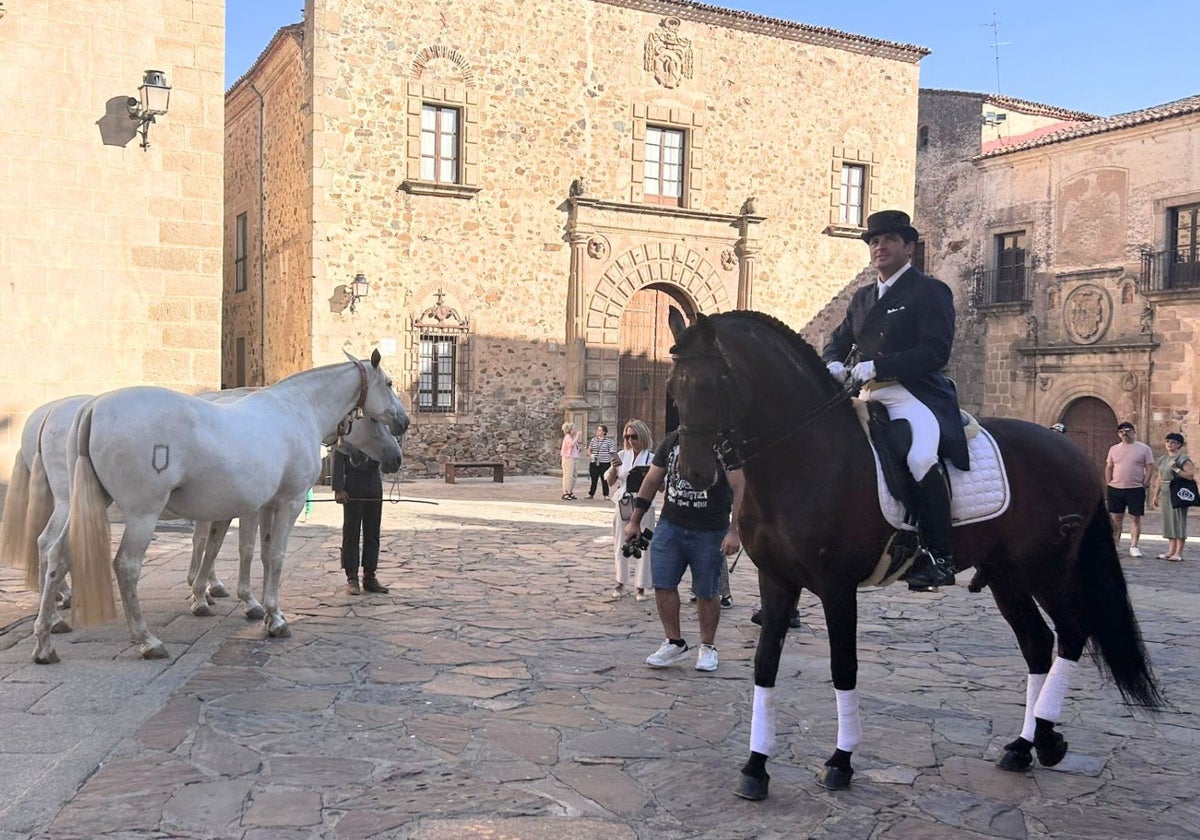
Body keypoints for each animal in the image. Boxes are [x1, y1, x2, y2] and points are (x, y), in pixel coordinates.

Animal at [46, 350, 408, 667]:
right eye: (389, 383)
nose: (403, 423)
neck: (298, 409)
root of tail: (94, 406)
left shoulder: (266, 506)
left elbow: (261, 554)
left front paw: (261, 610)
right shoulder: (288, 503)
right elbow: (274, 556)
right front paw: (275, 618)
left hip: (88, 504)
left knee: (56, 555)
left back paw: (45, 642)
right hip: (142, 515)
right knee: (126, 566)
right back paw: (146, 640)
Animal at [667, 309, 1161, 801]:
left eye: (713, 383)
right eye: (675, 386)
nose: (694, 473)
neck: (805, 456)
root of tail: (1073, 451)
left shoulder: (836, 586)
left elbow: (843, 667)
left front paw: (841, 761)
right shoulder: (776, 579)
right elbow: (765, 665)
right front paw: (756, 766)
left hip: (1046, 568)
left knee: (1072, 633)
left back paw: (1046, 737)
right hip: (1007, 574)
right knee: (1037, 644)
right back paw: (1022, 747)